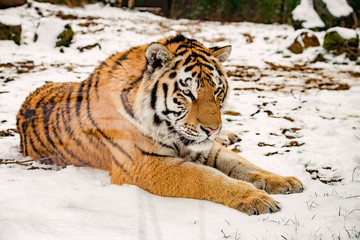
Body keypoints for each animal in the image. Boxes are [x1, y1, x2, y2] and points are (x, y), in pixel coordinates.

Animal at [17, 34, 304, 215]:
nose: (212, 129)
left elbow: (242, 164)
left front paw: (284, 181)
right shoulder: (144, 164)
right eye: (188, 93)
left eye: (217, 91)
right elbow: (207, 178)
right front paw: (256, 198)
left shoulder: (204, 147)